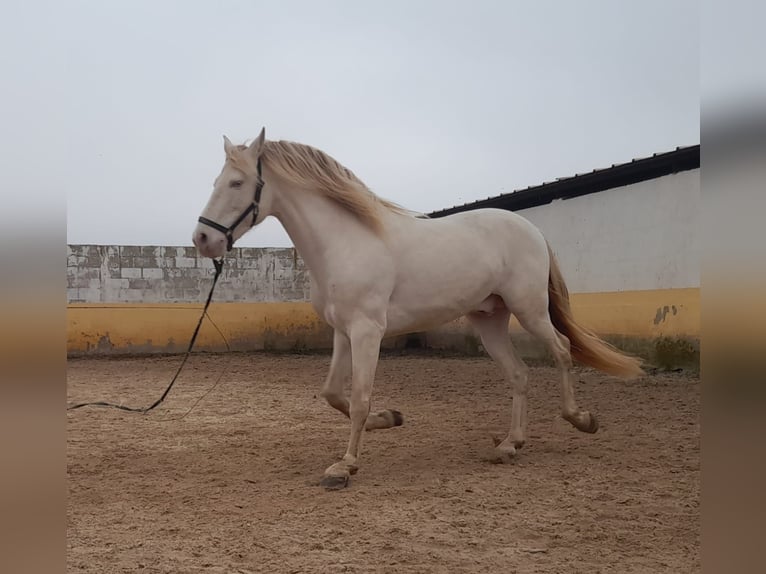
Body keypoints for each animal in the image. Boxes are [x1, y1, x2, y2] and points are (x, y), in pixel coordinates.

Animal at [195, 129, 644, 490]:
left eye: (237, 182)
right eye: (216, 180)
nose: (203, 239)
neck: (346, 241)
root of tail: (531, 228)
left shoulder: (367, 331)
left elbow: (359, 397)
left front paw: (345, 466)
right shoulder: (342, 331)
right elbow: (334, 393)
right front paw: (390, 418)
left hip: (529, 310)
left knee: (562, 351)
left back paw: (581, 419)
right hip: (490, 321)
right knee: (519, 375)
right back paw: (509, 445)